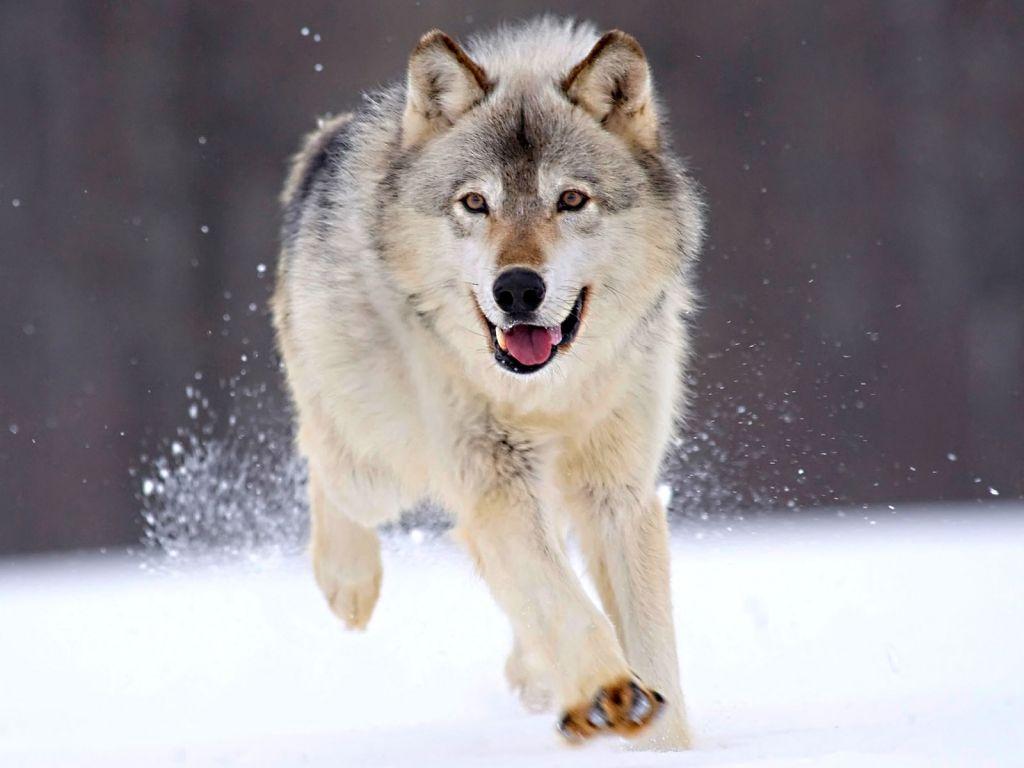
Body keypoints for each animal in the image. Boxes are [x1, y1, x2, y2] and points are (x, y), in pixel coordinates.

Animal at [272, 17, 704, 750]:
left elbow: (650, 644)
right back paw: (348, 583)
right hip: (378, 464)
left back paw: (534, 675)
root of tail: (328, 139)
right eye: (475, 203)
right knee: (323, 460)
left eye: (571, 200)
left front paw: (659, 740)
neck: (548, 394)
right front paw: (607, 693)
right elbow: (565, 604)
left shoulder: (618, 492)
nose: (518, 289)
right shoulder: (494, 480)